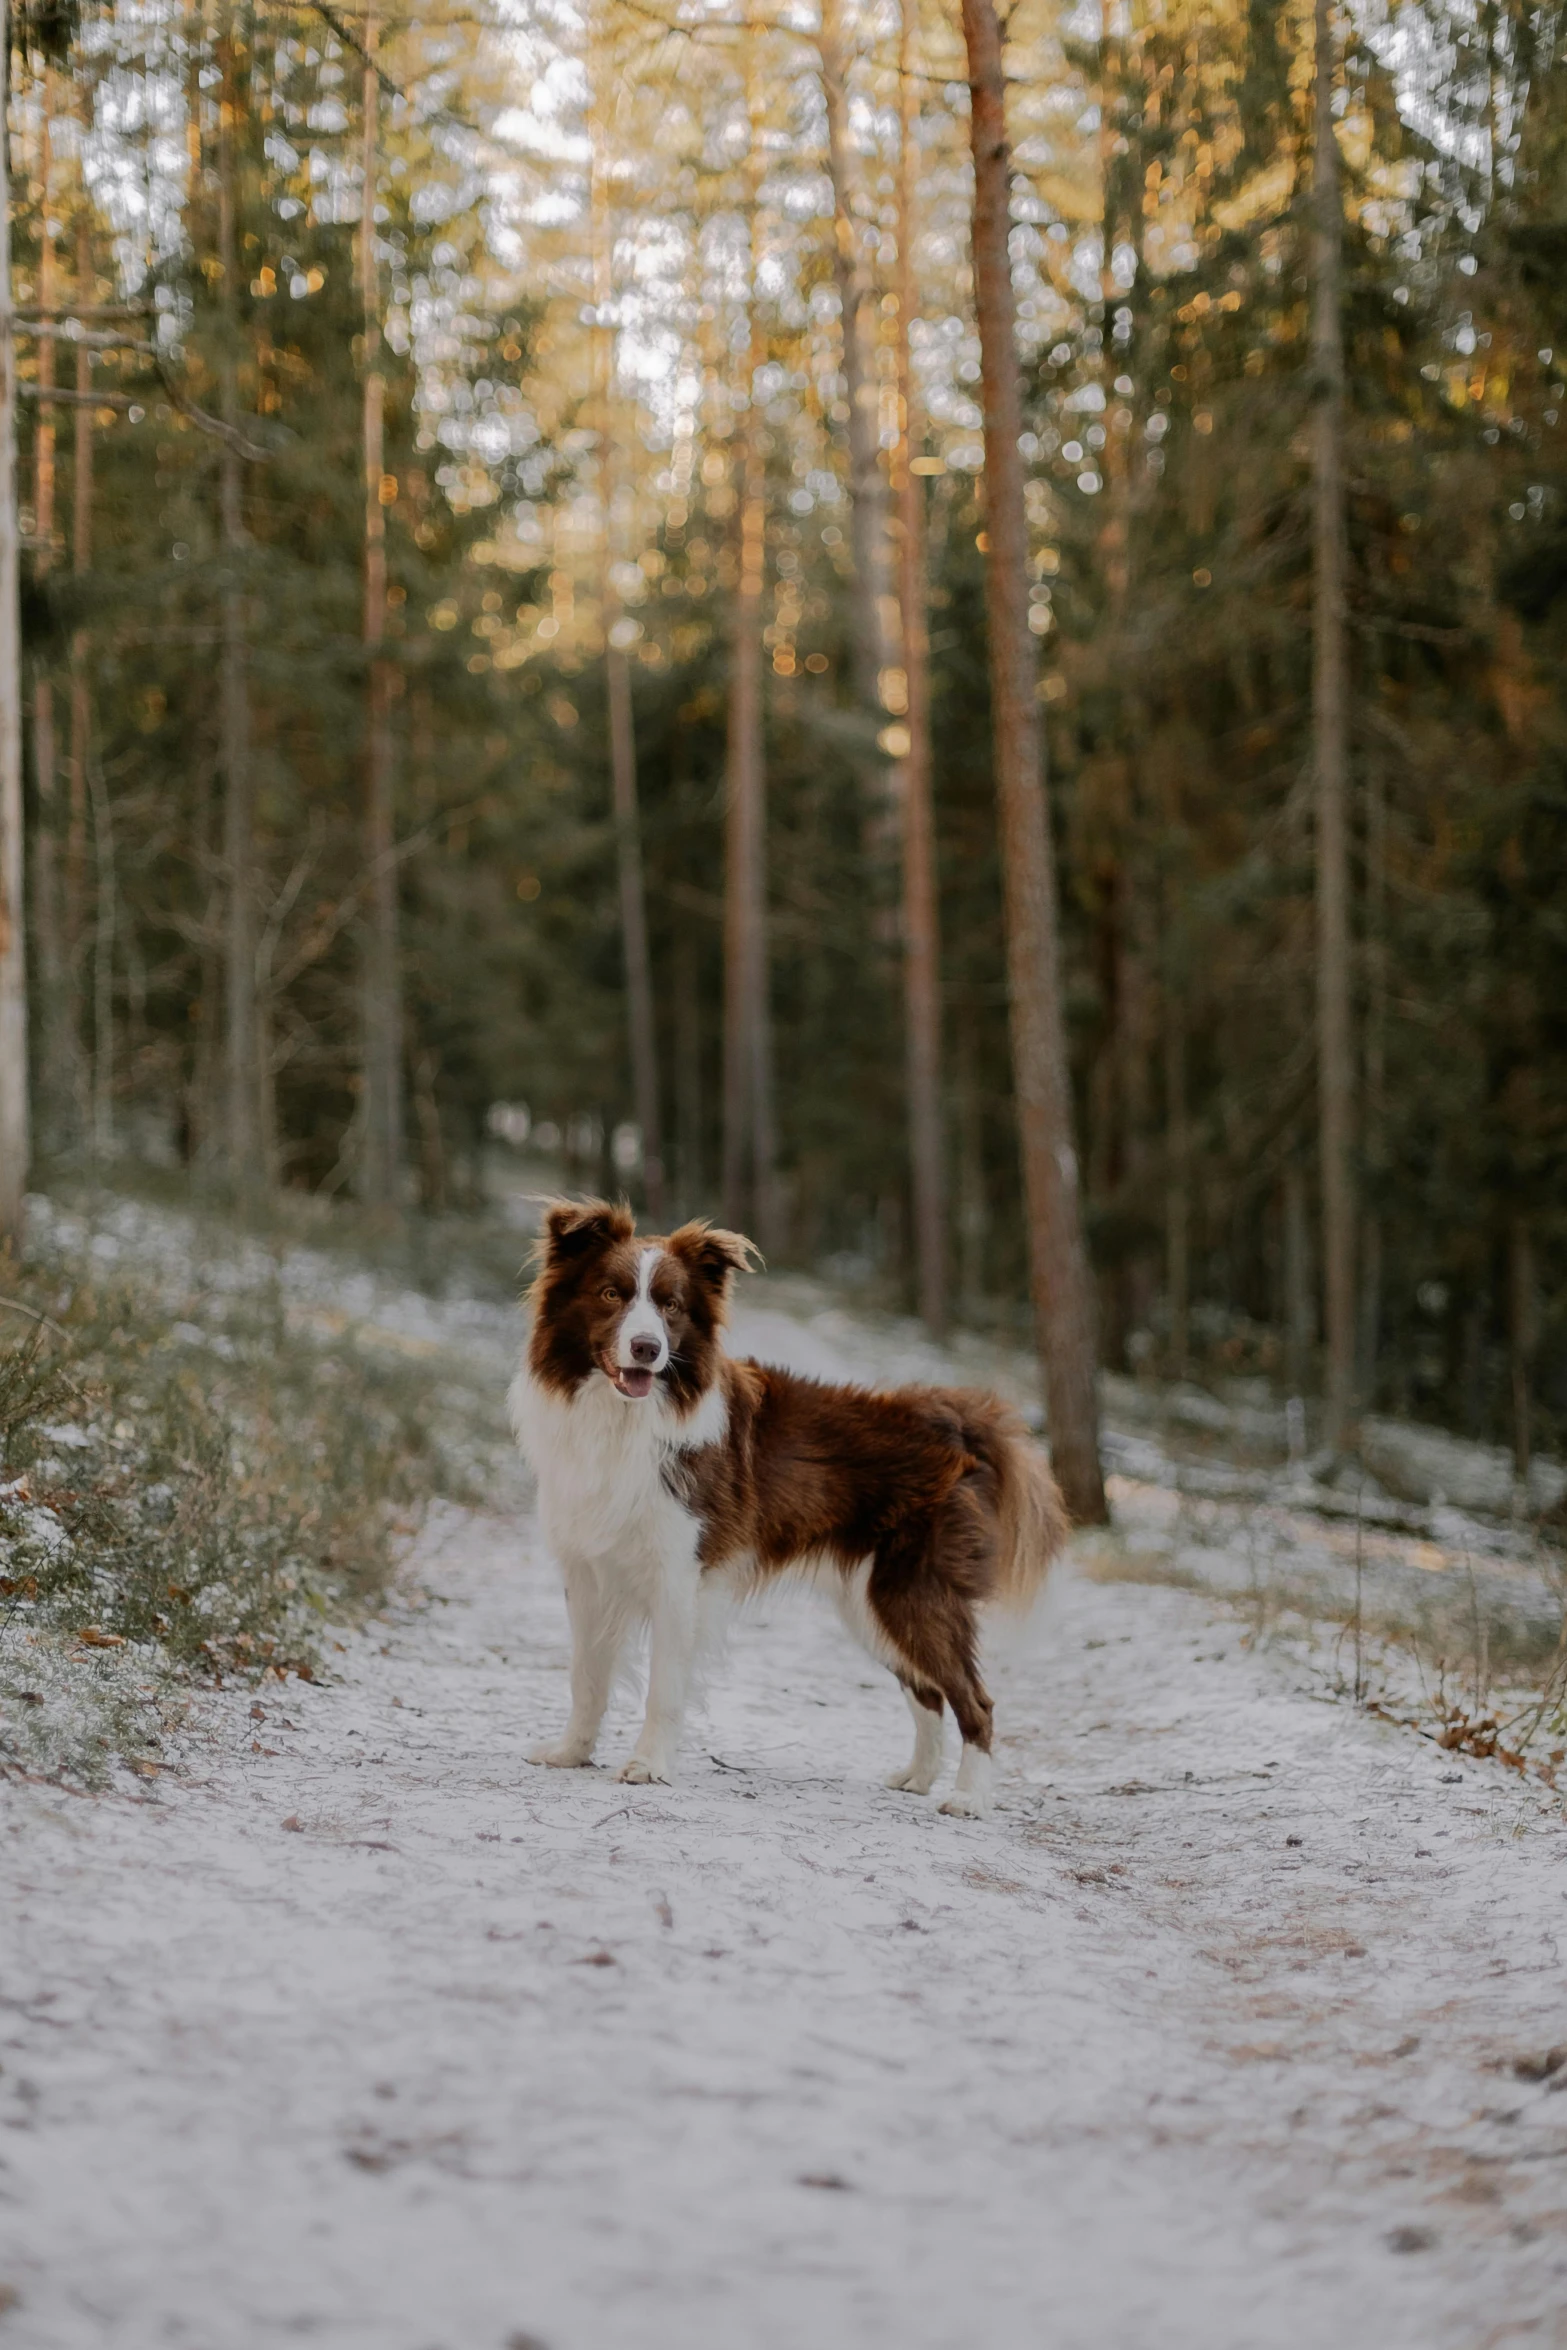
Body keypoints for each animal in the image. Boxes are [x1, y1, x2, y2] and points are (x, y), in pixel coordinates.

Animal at [509, 1193, 1071, 1814]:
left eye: (670, 1305)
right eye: (612, 1294)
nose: (647, 1349)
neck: (624, 1415)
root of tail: (954, 1420)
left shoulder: (679, 1574)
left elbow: (664, 1686)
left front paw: (648, 1766)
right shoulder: (587, 1569)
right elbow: (585, 1675)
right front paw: (571, 1753)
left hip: (914, 1593)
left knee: (975, 1700)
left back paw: (968, 1798)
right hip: (871, 1603)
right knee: (927, 1692)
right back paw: (917, 1778)